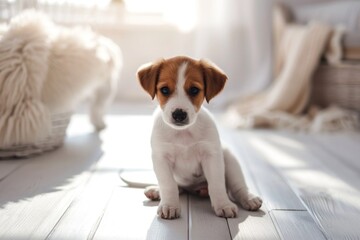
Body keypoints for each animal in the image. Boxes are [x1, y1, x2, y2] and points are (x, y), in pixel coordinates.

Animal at [137, 56, 262, 219]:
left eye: (194, 90)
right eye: (164, 90)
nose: (179, 114)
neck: (183, 133)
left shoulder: (211, 156)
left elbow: (216, 184)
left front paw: (223, 205)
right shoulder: (161, 158)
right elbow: (168, 185)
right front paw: (169, 205)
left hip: (229, 159)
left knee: (237, 187)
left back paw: (249, 198)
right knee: (178, 187)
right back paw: (156, 190)